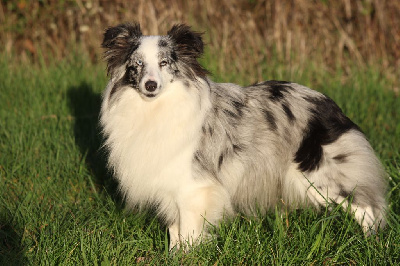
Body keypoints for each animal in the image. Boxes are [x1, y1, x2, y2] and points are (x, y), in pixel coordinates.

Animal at [100, 22, 388, 249]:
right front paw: (173, 256)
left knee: (367, 209)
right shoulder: (169, 185)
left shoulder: (194, 188)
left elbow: (189, 234)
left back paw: (370, 245)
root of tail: (329, 104)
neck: (154, 109)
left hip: (321, 176)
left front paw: (186, 257)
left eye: (164, 63)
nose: (150, 85)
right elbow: (175, 233)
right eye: (137, 64)